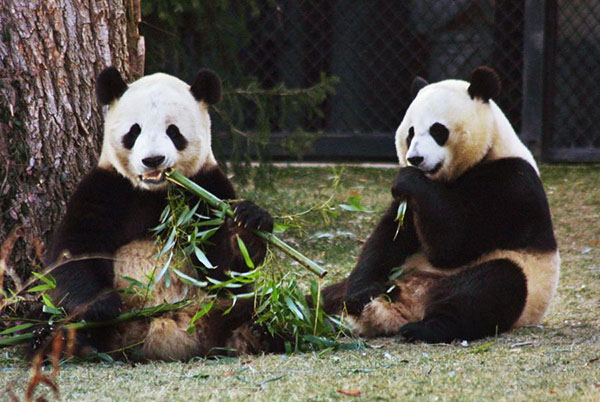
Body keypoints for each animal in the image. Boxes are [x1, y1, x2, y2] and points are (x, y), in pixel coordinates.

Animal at [38, 66, 278, 362]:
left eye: (173, 132)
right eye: (134, 131)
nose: (153, 160)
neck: (155, 192)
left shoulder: (207, 189)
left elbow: (223, 269)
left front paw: (248, 221)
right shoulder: (106, 188)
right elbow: (74, 251)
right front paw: (103, 305)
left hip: (218, 307)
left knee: (262, 306)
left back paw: (253, 334)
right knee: (52, 323)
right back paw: (73, 344)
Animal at [340, 66, 560, 342]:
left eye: (437, 130)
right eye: (410, 132)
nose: (415, 158)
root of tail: (408, 305)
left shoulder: (512, 184)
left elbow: (454, 243)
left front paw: (408, 178)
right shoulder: (409, 207)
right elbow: (388, 238)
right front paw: (359, 294)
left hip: (518, 282)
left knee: (491, 286)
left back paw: (427, 327)